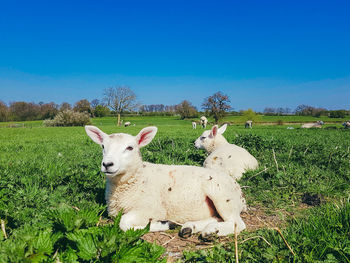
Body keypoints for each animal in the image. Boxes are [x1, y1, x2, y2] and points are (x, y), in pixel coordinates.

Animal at [84, 126, 246, 239]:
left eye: (130, 147)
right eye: (103, 147)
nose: (107, 164)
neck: (137, 178)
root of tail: (239, 192)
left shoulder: (152, 209)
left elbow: (123, 223)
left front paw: (164, 224)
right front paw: (168, 224)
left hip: (223, 196)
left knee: (237, 223)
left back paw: (211, 231)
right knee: (216, 218)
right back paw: (190, 227)